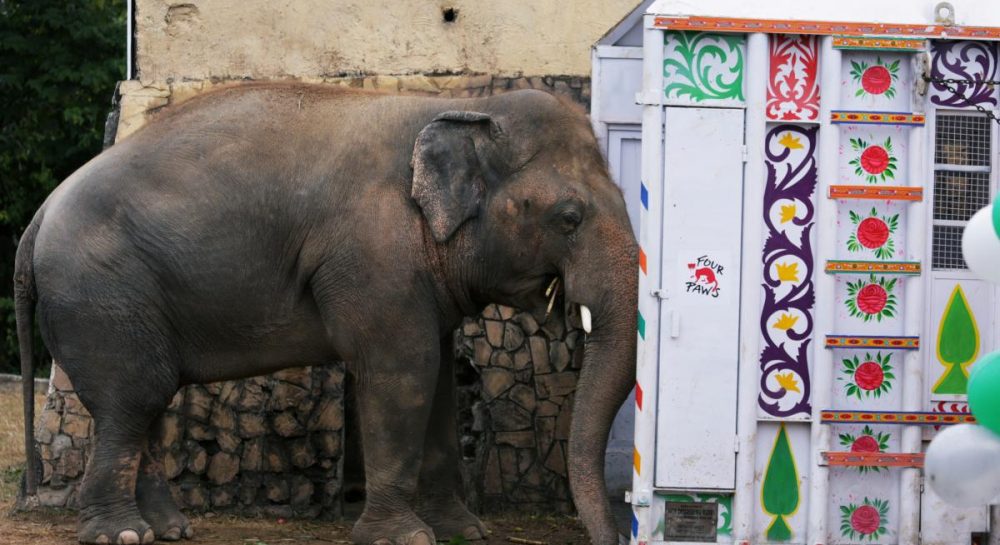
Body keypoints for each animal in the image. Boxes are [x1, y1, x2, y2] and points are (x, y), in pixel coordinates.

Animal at [13, 83, 640, 540]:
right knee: (132, 399)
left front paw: (463, 531)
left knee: (146, 401)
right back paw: (121, 535)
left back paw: (170, 530)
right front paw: (403, 538)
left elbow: (437, 377)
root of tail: (38, 217)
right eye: (568, 218)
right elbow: (402, 371)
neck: (462, 106)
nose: (606, 535)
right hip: (102, 294)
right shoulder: (372, 252)